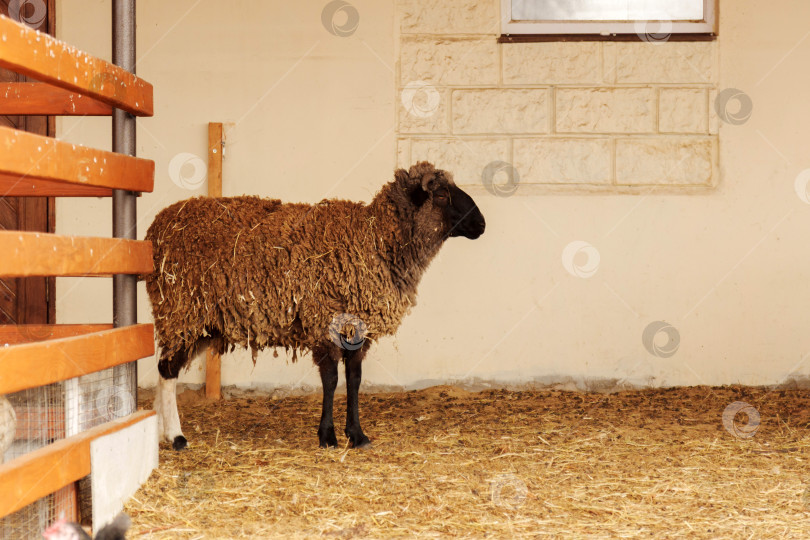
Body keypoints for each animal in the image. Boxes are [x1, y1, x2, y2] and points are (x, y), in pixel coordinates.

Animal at [145, 162, 486, 450]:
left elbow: (354, 379)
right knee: (167, 370)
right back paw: (176, 436)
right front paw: (328, 436)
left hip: (201, 323)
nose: (481, 224)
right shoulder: (325, 322)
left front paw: (357, 435)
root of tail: (156, 227)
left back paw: (160, 433)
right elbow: (332, 380)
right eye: (440, 195)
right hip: (180, 312)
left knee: (165, 371)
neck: (376, 239)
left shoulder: (357, 329)